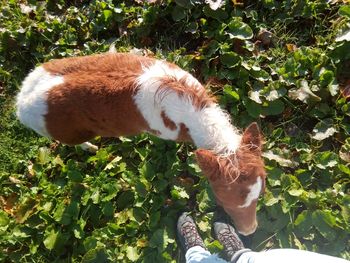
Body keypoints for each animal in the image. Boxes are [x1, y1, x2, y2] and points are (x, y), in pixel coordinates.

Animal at [16, 52, 266, 236]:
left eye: (259, 195)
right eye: (223, 201)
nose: (250, 231)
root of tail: (19, 103)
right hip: (65, 135)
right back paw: (91, 147)